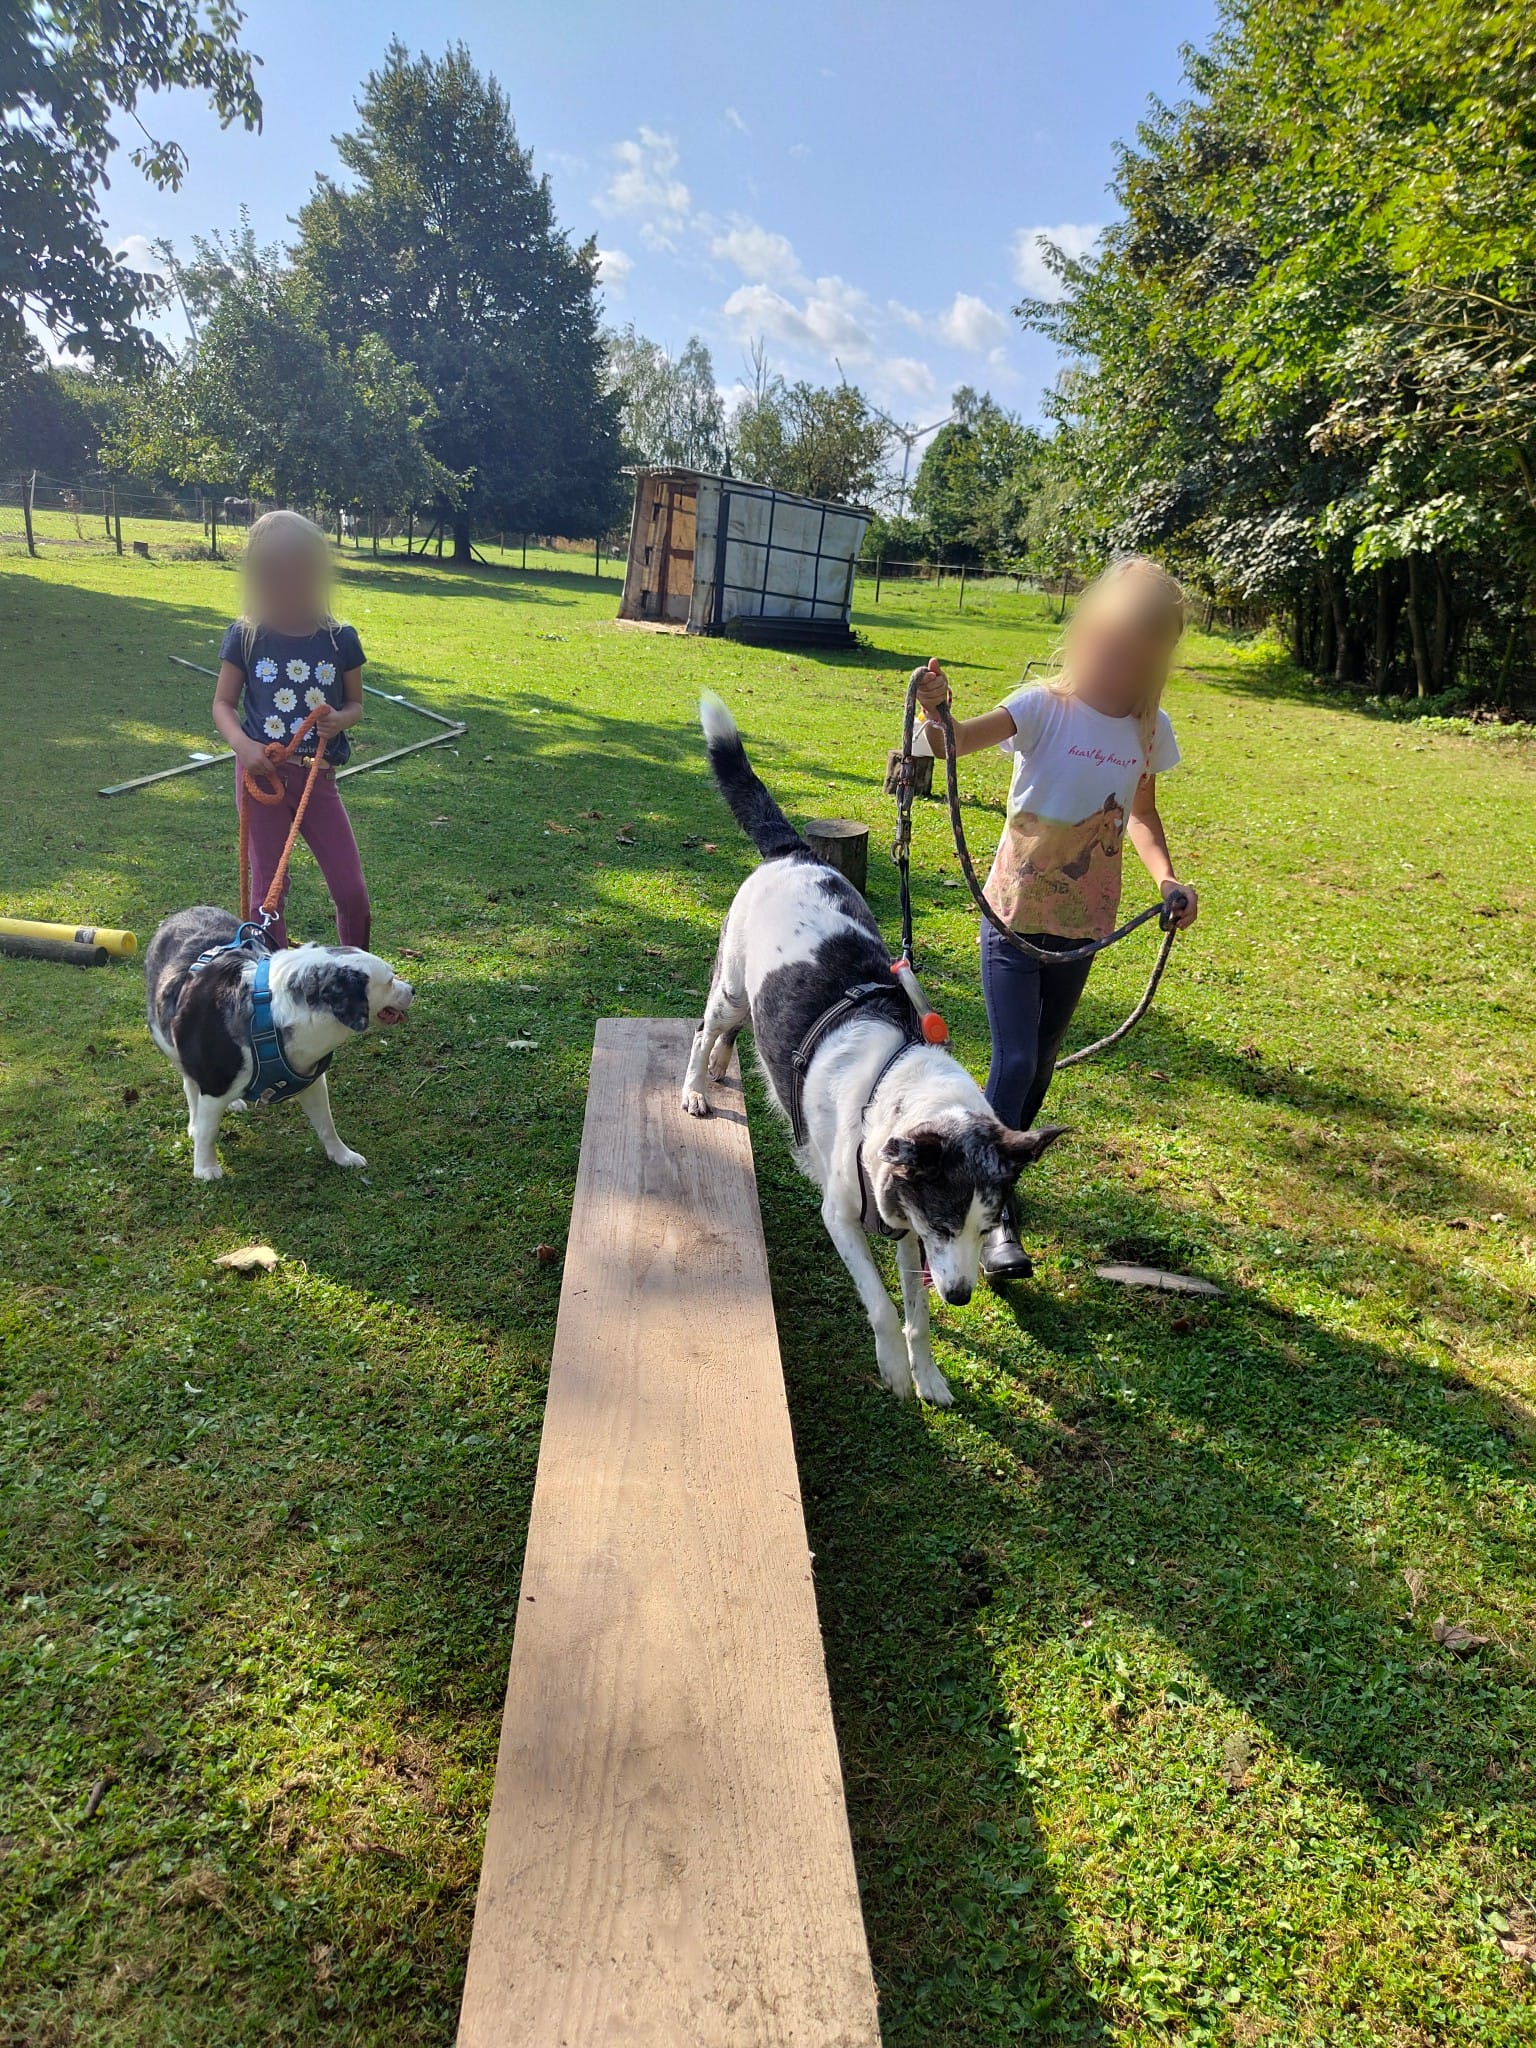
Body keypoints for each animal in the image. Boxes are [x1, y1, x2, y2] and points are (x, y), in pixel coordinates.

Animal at [145, 913, 415, 1187]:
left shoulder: (310, 1079)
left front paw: (341, 1155)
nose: (412, 990)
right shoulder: (214, 1082)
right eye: (390, 981)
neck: (270, 1016)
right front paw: (205, 1167)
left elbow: (326, 1123)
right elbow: (207, 1131)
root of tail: (182, 914)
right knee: (190, 1084)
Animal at [679, 704, 1064, 1409]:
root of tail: (796, 853)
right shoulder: (847, 1218)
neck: (894, 1089)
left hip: (754, 1003)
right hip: (731, 988)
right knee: (701, 1030)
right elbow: (885, 1307)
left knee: (734, 1036)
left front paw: (928, 1373)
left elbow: (916, 1313)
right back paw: (695, 1087)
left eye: (987, 1224)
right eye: (946, 1220)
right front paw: (892, 1368)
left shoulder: (905, 1229)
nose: (962, 1296)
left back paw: (720, 1069)